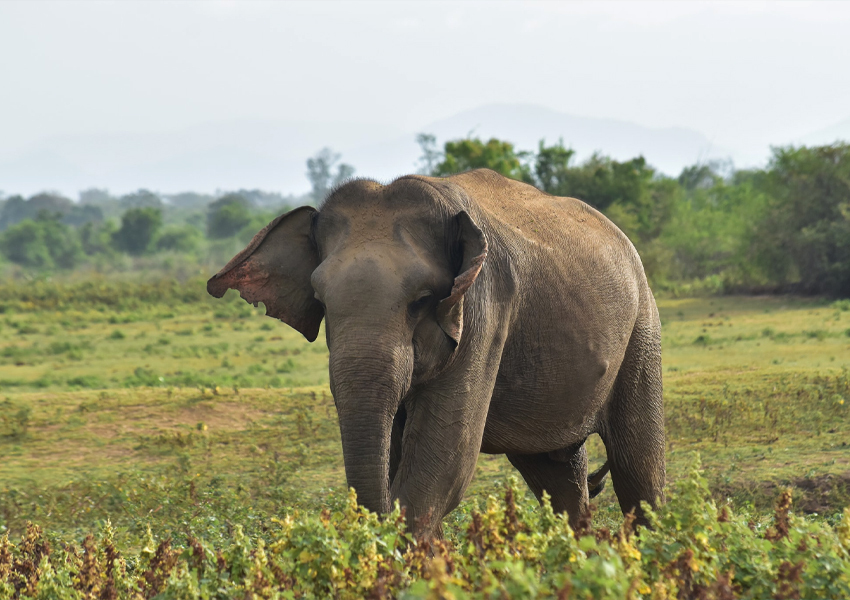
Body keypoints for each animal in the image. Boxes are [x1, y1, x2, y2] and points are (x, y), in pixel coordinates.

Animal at [205, 169, 664, 540]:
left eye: (422, 301)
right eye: (320, 300)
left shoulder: (484, 311)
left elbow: (444, 460)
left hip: (643, 328)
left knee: (637, 469)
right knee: (556, 471)